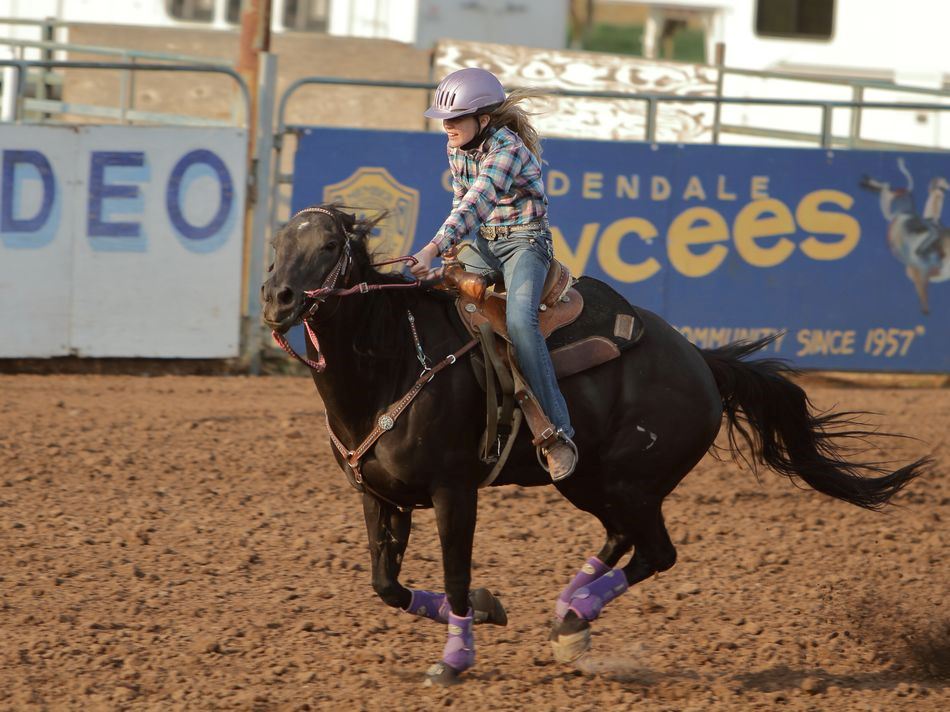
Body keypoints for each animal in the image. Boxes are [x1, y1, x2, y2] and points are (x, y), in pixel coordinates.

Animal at [260, 203, 929, 686]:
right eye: (275, 245)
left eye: (329, 246)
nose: (277, 299)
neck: (396, 361)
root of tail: (700, 361)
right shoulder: (379, 496)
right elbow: (387, 585)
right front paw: (486, 607)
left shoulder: (455, 491)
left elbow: (453, 571)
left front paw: (455, 658)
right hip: (592, 479)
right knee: (621, 539)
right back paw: (568, 618)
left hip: (629, 481)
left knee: (656, 552)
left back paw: (576, 616)